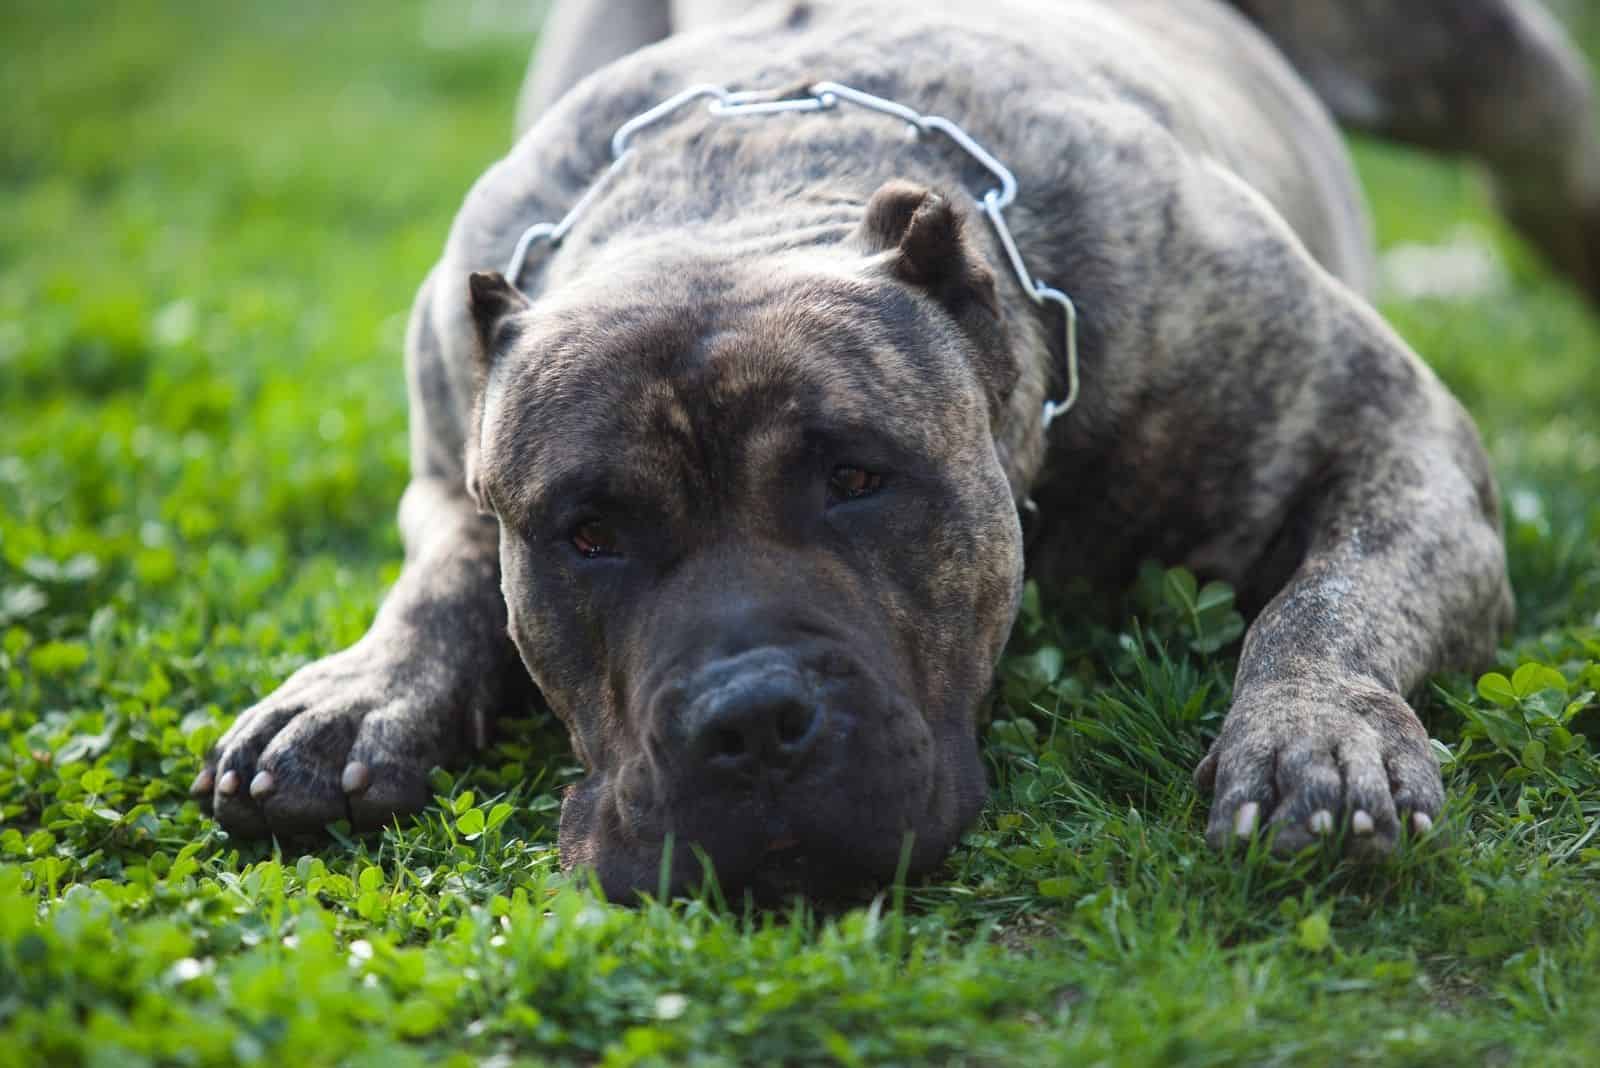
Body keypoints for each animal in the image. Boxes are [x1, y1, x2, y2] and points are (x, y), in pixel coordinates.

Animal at [190, 0, 1600, 901]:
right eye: (586, 536)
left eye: (858, 481)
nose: (749, 721)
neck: (757, 187)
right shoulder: (450, 469)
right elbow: (436, 585)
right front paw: (354, 693)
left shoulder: (1392, 439)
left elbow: (1329, 600)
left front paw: (1316, 737)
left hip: (1484, 71)